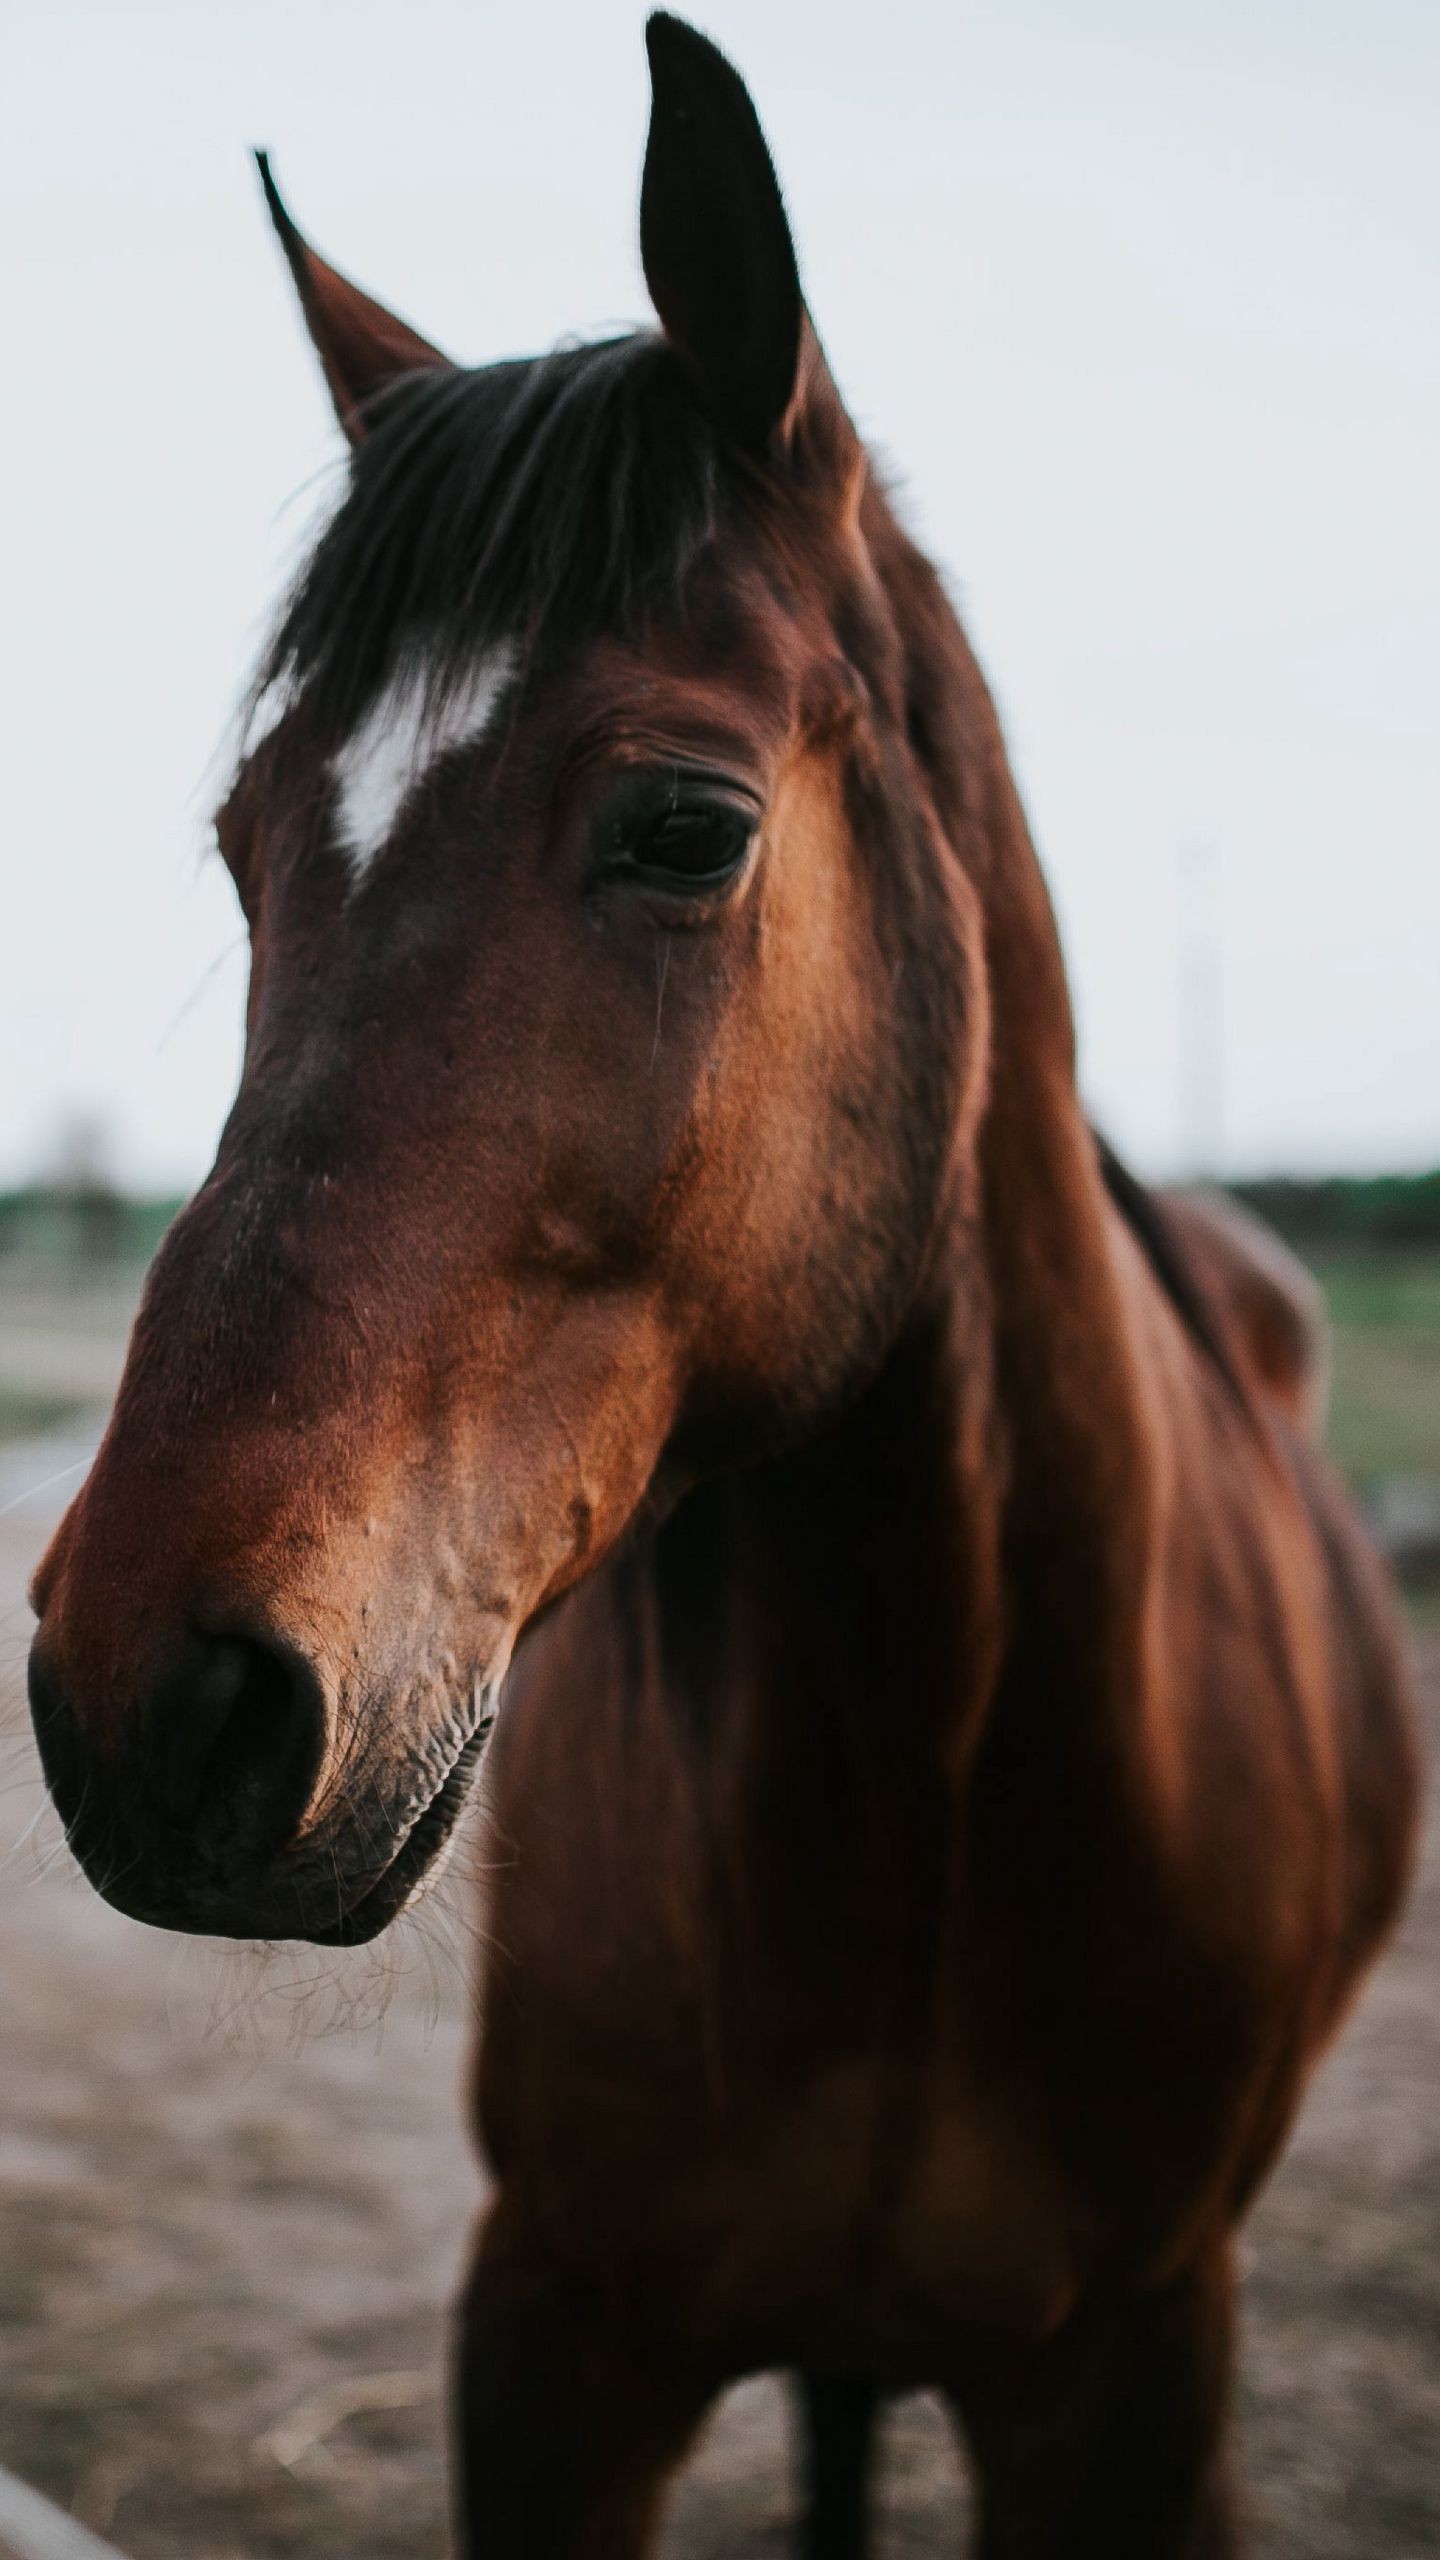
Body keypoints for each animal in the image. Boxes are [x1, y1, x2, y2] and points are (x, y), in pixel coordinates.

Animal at [28, 20, 1414, 2560]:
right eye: (246, 843)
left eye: (689, 824)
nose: (148, 1700)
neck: (934, 1760)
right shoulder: (556, 2334)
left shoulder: (1134, 2362)